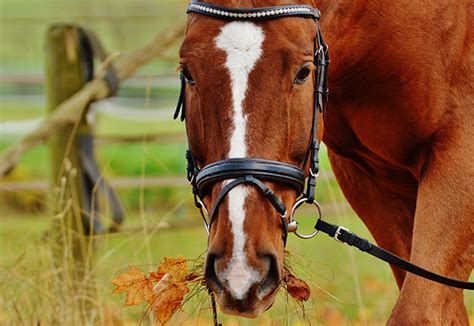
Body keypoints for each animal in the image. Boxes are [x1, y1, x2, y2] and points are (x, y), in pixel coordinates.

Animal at [176, 0, 472, 322]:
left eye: (304, 72)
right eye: (188, 73)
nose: (241, 271)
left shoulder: (460, 154)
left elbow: (416, 312)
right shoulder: (368, 177)